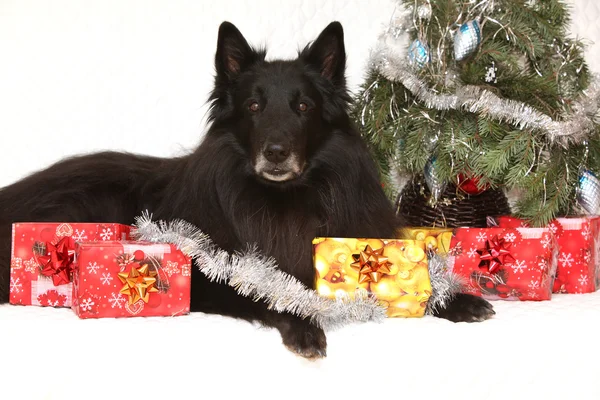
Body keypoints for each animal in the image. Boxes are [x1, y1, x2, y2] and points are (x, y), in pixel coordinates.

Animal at [0, 21, 492, 360]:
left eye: (303, 106)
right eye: (254, 105)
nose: (275, 153)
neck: (283, 199)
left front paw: (457, 299)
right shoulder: (215, 273)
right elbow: (272, 289)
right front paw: (304, 323)